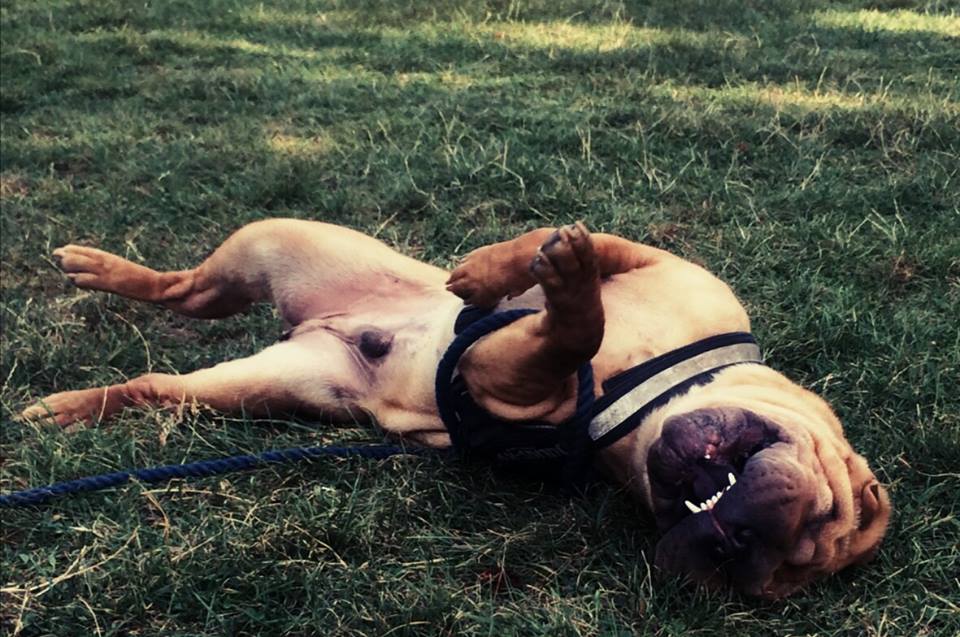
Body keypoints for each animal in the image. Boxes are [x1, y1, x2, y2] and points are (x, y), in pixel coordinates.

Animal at [21, 219, 891, 598]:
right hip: (275, 240)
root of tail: (328, 328)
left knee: (159, 380)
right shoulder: (657, 262)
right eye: (826, 512)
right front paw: (504, 272)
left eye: (777, 576)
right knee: (184, 288)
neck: (630, 409)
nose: (743, 543)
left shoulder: (506, 390)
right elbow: (564, 264)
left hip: (261, 386)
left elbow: (561, 340)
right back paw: (96, 270)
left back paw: (68, 407)